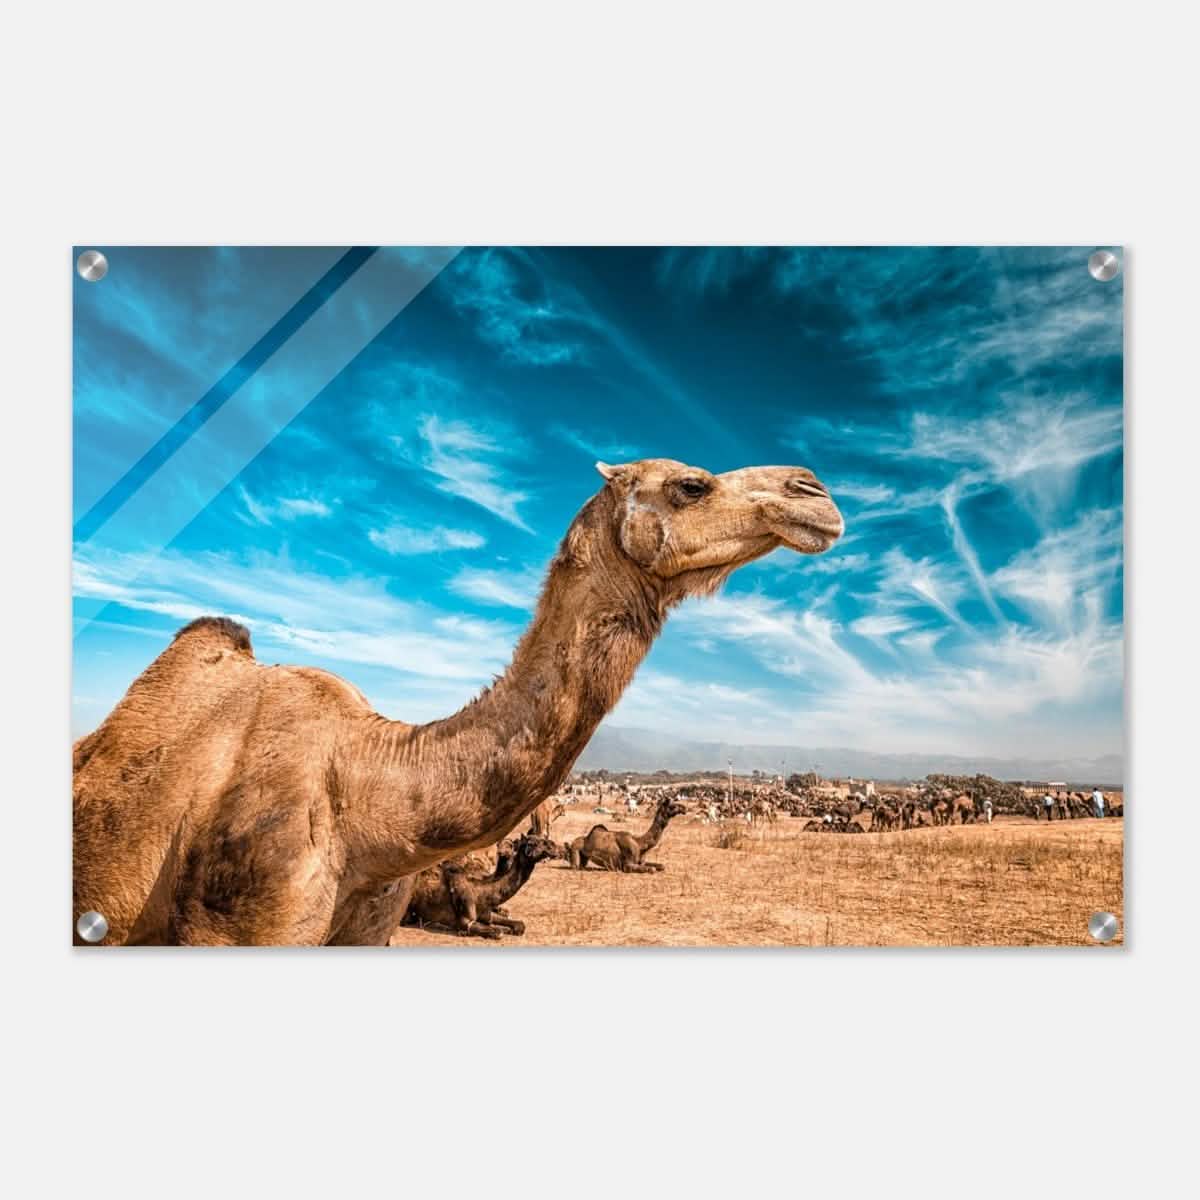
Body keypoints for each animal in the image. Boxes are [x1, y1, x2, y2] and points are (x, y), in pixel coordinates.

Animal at [400, 832, 558, 939]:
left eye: (542, 840)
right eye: (532, 843)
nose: (553, 846)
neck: (482, 891)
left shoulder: (486, 913)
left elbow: (520, 925)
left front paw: (511, 928)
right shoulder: (466, 921)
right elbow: (497, 932)